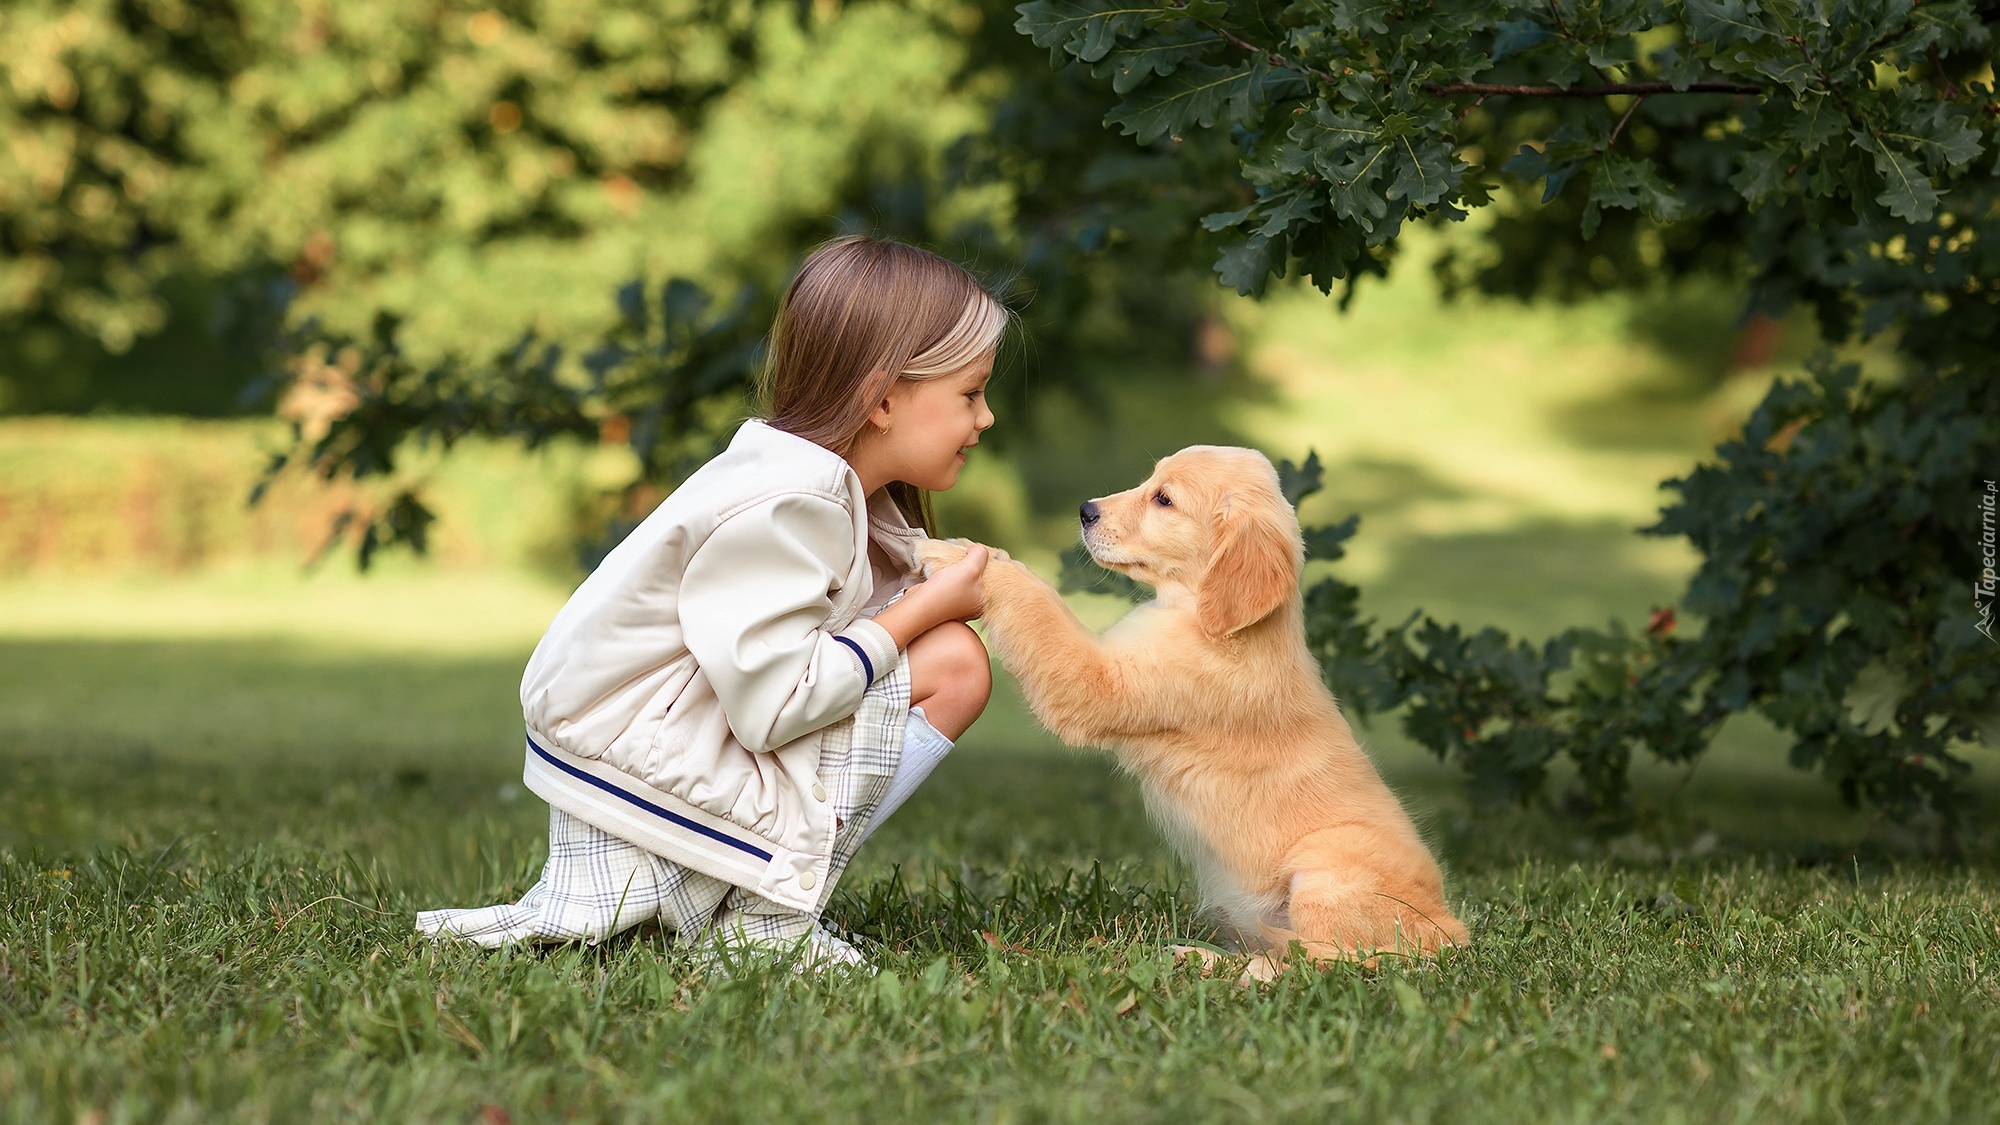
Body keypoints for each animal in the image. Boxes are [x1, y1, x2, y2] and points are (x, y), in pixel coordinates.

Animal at [920, 444, 1472, 972]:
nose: (1085, 511)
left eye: (1164, 499)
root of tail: (1451, 932)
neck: (1208, 619)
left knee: (1325, 959)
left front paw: (956, 555)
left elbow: (1039, 606)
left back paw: (1221, 964)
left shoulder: (1098, 682)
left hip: (1325, 869)